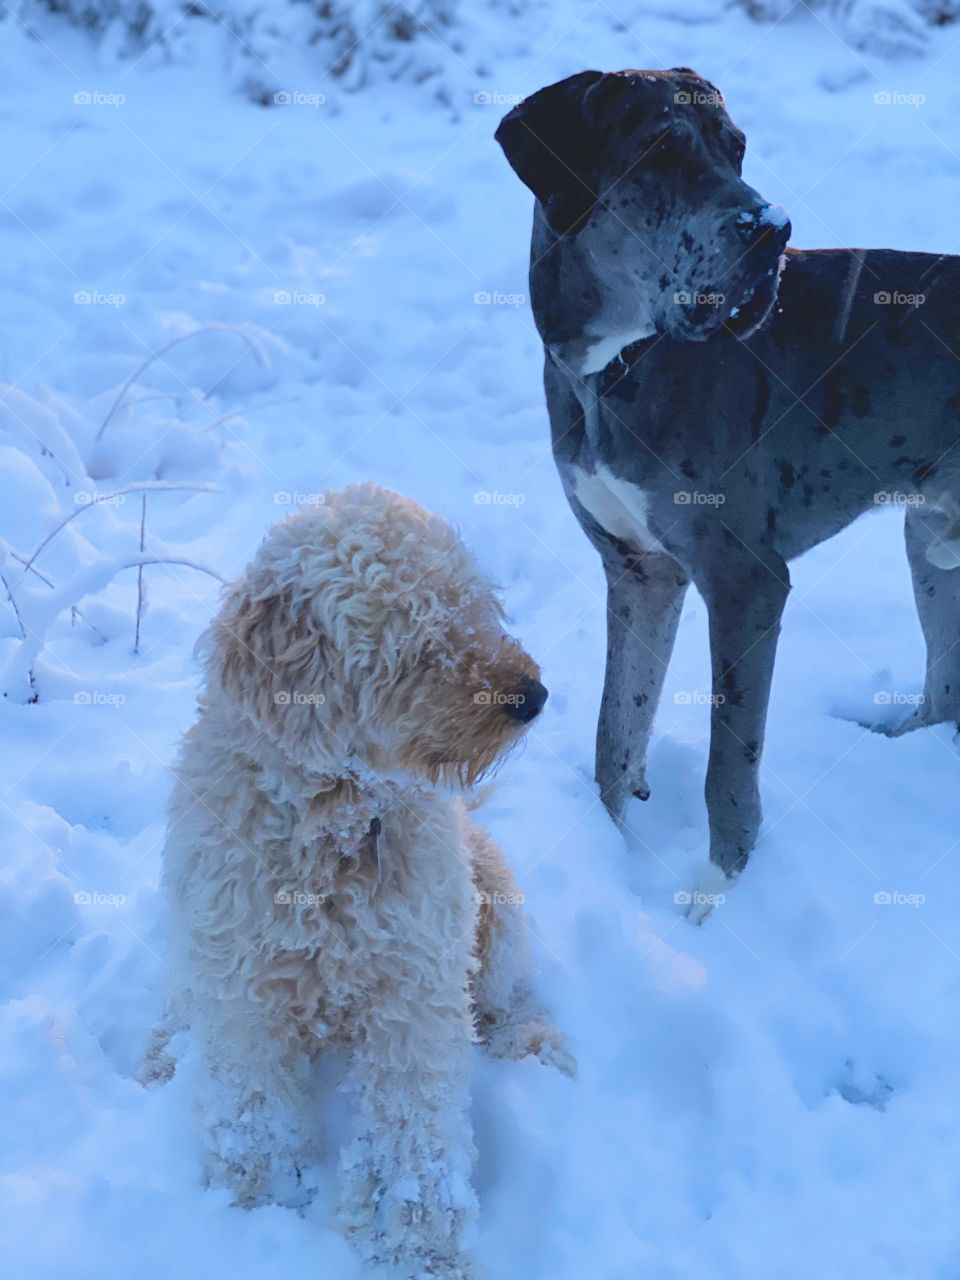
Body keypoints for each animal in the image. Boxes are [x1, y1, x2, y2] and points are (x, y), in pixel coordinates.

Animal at [146, 481, 576, 1280]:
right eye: (416, 644)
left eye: (476, 604)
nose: (533, 696)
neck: (334, 825)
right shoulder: (239, 984)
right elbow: (250, 1106)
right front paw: (256, 1203)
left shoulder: (414, 988)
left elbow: (414, 1133)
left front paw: (418, 1245)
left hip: (493, 910)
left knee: (510, 997)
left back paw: (531, 1041)